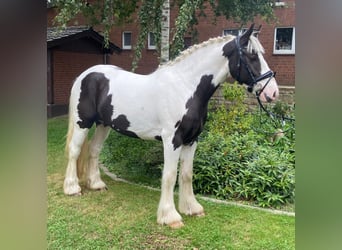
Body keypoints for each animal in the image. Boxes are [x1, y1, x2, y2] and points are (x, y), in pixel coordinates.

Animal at [63, 23, 278, 229]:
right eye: (252, 55)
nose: (273, 93)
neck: (186, 87)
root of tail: (85, 75)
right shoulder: (172, 141)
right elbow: (169, 176)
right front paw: (170, 217)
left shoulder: (191, 140)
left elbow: (186, 174)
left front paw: (192, 208)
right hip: (83, 122)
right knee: (74, 151)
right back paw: (72, 188)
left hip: (103, 125)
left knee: (93, 150)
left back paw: (96, 184)